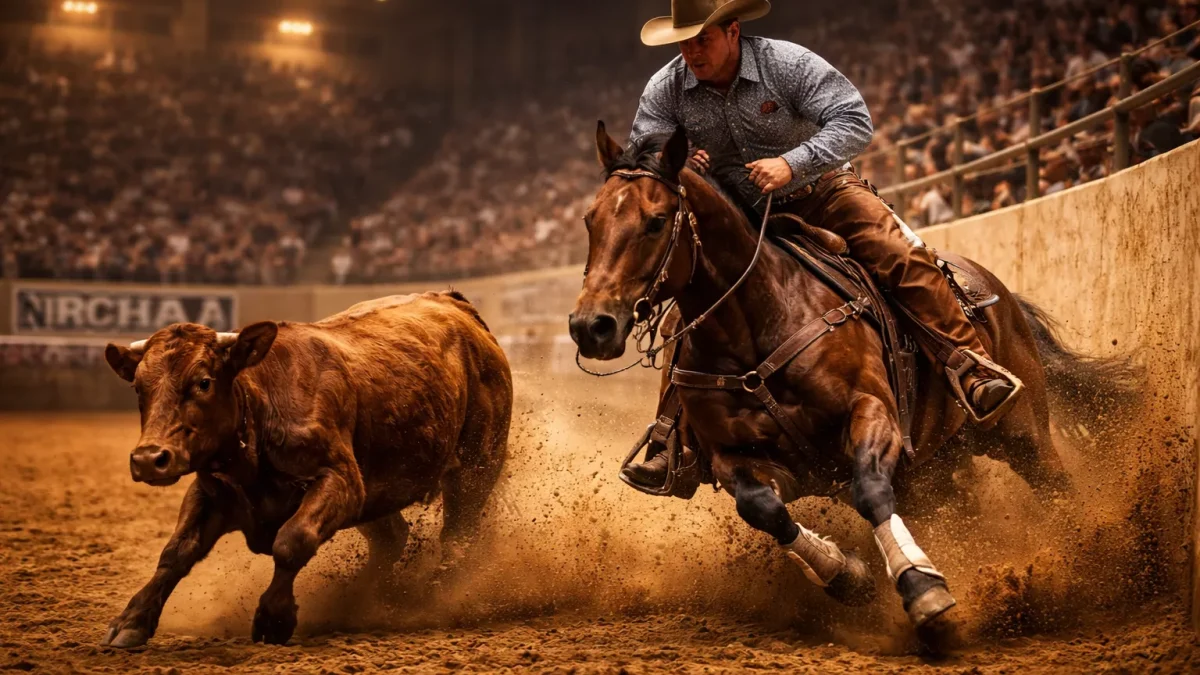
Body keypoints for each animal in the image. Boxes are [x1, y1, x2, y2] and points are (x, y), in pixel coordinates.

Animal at [99, 291, 512, 648]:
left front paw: (273, 618)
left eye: (203, 382)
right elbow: (176, 553)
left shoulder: (341, 480)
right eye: (139, 387)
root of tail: (454, 304)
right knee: (393, 538)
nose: (149, 458)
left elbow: (291, 540)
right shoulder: (210, 491)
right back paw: (365, 597)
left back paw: (434, 595)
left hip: (476, 467)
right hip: (379, 495)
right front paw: (131, 621)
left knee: (457, 538)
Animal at [569, 123, 1127, 634]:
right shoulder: (738, 458)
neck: (759, 324)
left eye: (656, 221)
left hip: (1022, 430)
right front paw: (848, 576)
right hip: (936, 471)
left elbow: (871, 490)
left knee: (1054, 485)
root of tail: (993, 291)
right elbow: (763, 509)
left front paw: (922, 587)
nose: (591, 325)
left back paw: (1090, 555)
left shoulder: (871, 410)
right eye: (590, 221)